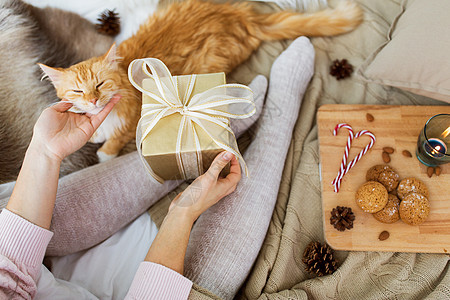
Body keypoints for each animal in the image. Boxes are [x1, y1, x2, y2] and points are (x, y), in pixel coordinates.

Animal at [38, 0, 362, 162]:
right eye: (78, 91)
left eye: (100, 85)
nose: (93, 101)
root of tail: (241, 16)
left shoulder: (130, 124)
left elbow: (114, 142)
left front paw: (105, 154)